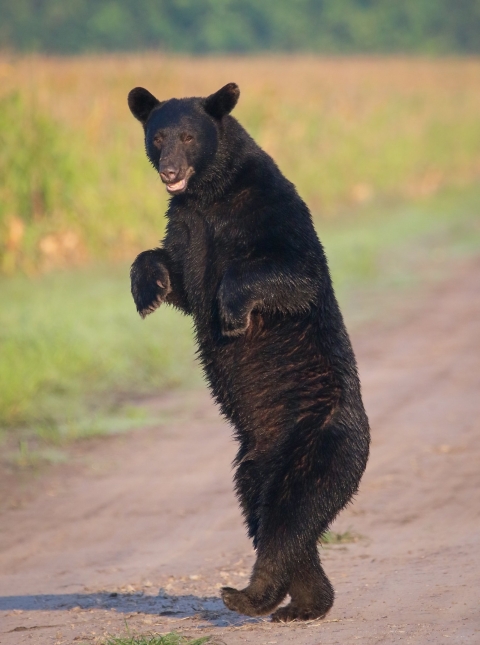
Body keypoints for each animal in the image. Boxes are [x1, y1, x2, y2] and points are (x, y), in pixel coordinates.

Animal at [128, 80, 372, 620]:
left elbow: (292, 270)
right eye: (158, 138)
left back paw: (249, 594)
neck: (208, 193)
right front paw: (147, 292)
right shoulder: (186, 226)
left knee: (290, 518)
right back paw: (298, 602)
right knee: (272, 519)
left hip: (320, 444)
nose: (169, 171)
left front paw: (232, 315)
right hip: (254, 465)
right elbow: (174, 271)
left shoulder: (267, 211)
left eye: (188, 136)